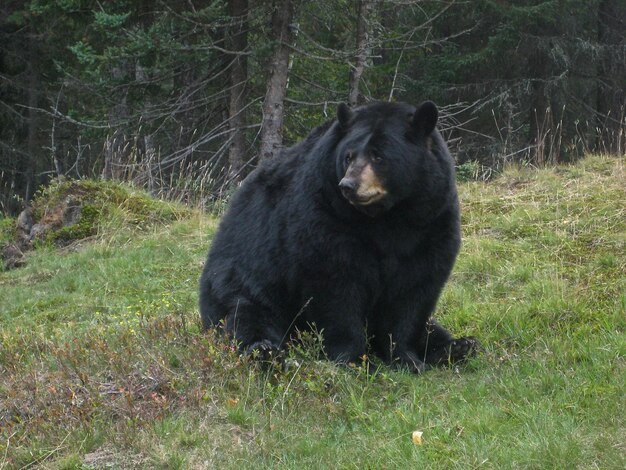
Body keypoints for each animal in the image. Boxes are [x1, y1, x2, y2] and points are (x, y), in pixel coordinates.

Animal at [199, 102, 472, 370]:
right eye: (348, 156)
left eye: (378, 155)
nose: (348, 185)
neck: (386, 217)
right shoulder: (326, 213)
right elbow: (335, 285)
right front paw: (352, 359)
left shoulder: (430, 219)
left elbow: (413, 290)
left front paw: (407, 358)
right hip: (245, 283)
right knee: (247, 316)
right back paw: (265, 352)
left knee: (433, 327)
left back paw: (457, 346)